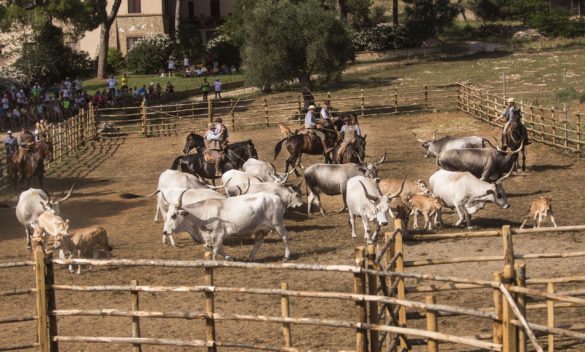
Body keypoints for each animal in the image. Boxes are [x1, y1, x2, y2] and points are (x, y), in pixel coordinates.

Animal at [162, 191, 290, 260]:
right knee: (258, 242)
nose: (165, 231)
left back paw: (287, 256)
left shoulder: (218, 233)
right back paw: (250, 257)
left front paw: (213, 261)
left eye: (174, 216)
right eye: (167, 215)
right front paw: (230, 257)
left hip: (277, 223)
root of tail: (276, 197)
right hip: (260, 229)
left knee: (285, 237)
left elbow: (216, 249)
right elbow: (218, 248)